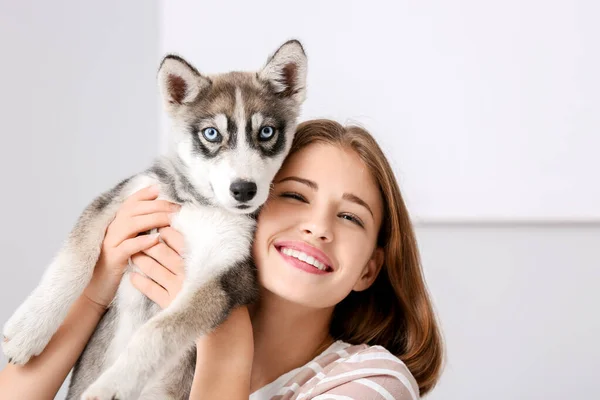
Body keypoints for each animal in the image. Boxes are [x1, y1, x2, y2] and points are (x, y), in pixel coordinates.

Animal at [2, 40, 308, 400]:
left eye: (266, 132)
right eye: (211, 133)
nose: (244, 190)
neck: (198, 203)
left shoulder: (223, 273)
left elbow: (160, 330)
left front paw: (112, 386)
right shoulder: (119, 200)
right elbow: (75, 263)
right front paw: (27, 331)